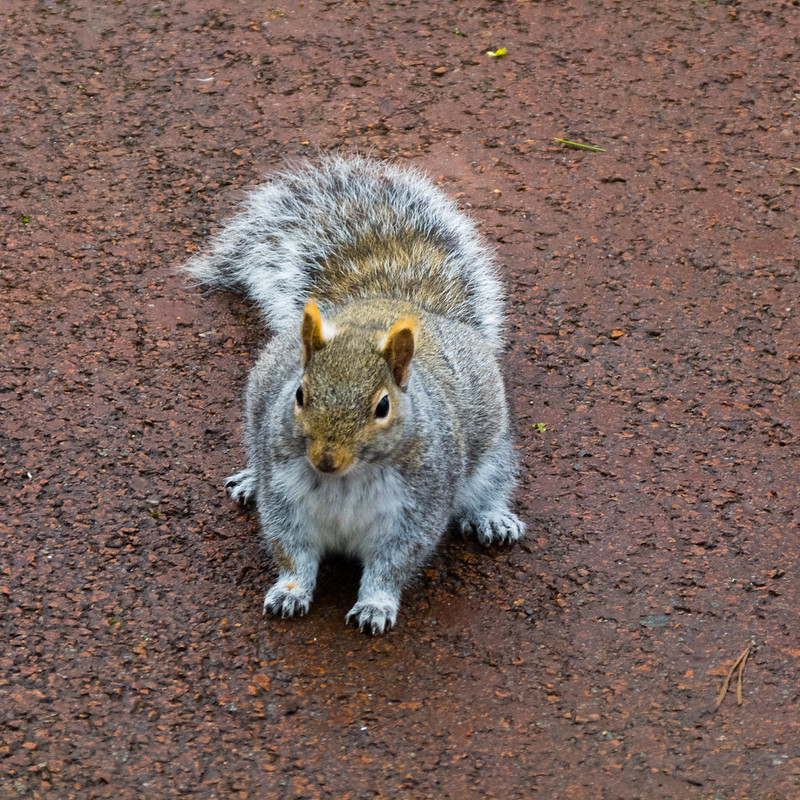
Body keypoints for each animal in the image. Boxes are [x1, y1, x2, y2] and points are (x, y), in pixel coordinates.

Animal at [186, 156, 524, 634]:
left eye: (383, 406)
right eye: (299, 394)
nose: (327, 459)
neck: (345, 480)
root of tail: (392, 303)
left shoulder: (415, 511)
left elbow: (391, 566)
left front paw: (375, 606)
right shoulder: (286, 501)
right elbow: (292, 553)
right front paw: (289, 592)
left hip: (491, 449)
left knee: (493, 481)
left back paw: (492, 517)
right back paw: (251, 479)